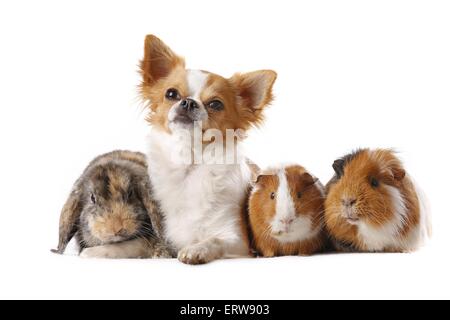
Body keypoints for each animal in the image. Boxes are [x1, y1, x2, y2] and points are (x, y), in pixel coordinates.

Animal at [141, 35, 276, 264]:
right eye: (171, 93)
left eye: (215, 104)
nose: (188, 102)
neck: (190, 163)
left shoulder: (238, 242)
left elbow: (215, 240)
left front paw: (196, 249)